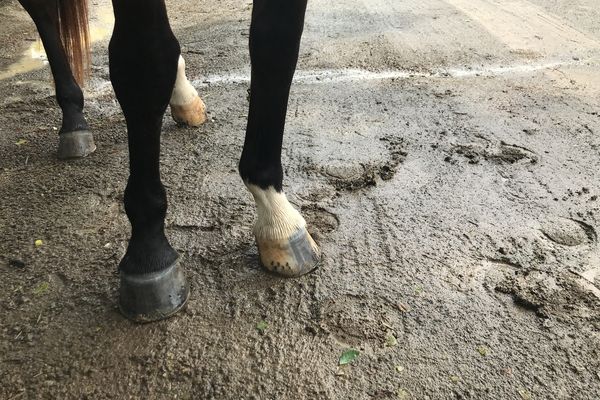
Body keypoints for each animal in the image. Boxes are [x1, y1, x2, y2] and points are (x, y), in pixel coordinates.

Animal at [14, 0, 322, 322]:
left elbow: (274, 41)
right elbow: (146, 59)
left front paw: (278, 219)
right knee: (44, 13)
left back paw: (182, 98)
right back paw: (73, 120)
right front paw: (149, 252)